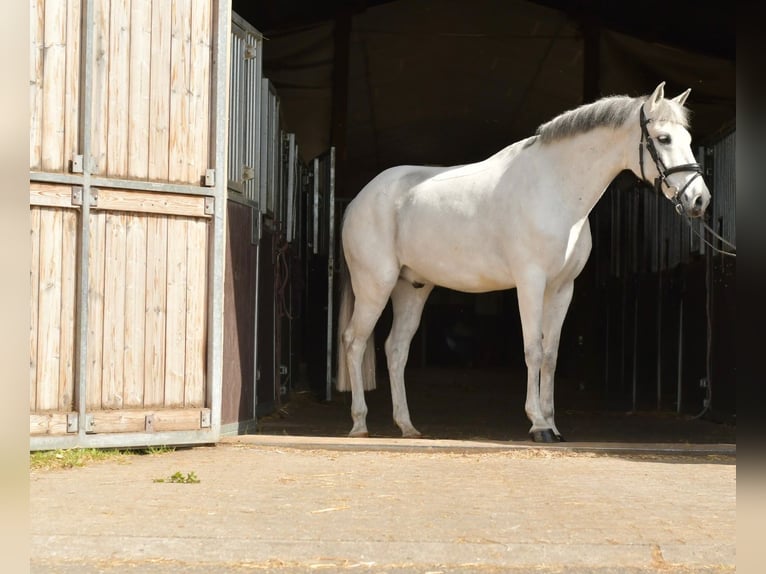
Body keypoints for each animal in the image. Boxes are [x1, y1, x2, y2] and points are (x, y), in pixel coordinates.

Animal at [335, 82, 711, 442]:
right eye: (663, 138)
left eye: (690, 139)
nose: (699, 200)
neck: (555, 189)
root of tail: (358, 200)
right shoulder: (531, 283)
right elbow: (533, 349)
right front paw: (538, 425)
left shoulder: (561, 289)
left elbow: (551, 356)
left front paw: (553, 425)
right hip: (375, 285)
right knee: (354, 342)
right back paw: (359, 424)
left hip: (412, 289)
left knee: (396, 350)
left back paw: (407, 426)